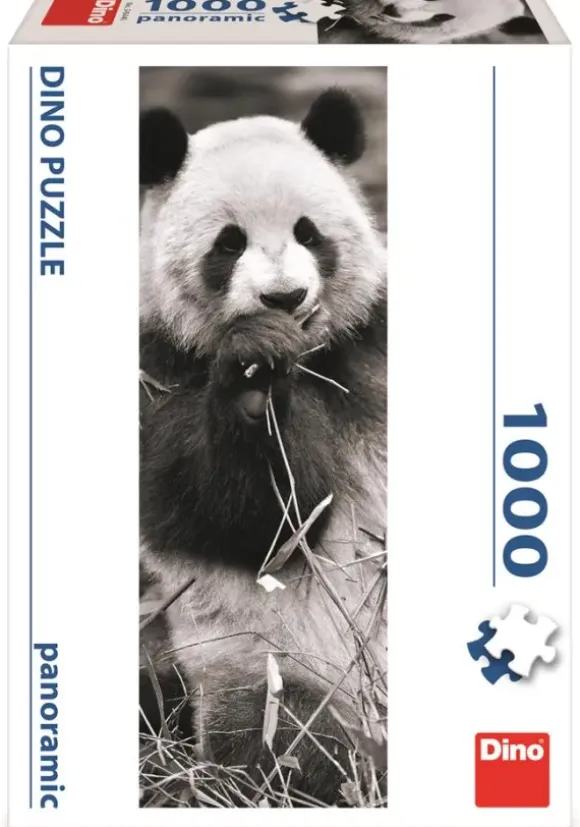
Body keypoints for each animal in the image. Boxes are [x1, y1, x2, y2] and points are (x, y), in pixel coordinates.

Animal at [139, 89, 387, 807]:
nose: (284, 297)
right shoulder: (158, 372)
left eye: (309, 232)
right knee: (293, 742)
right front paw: (254, 383)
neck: (312, 355)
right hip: (265, 664)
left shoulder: (376, 341)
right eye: (229, 243)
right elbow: (251, 522)